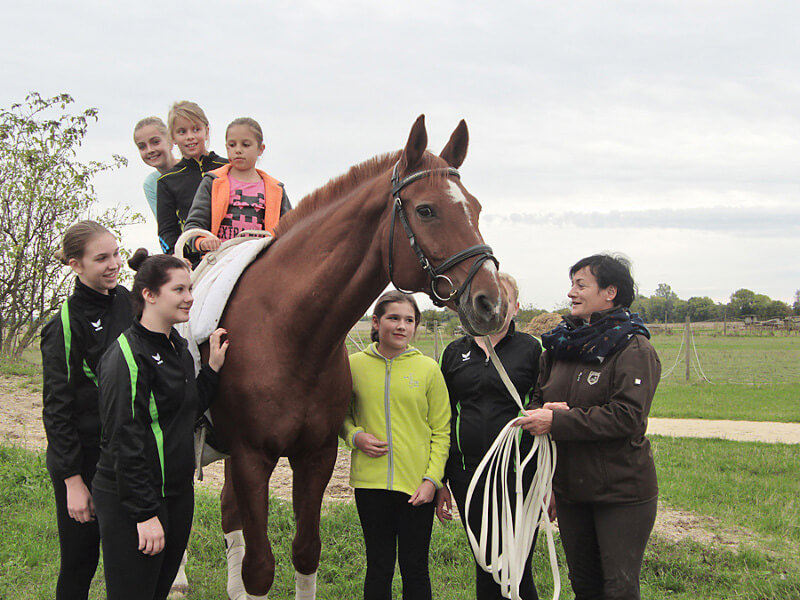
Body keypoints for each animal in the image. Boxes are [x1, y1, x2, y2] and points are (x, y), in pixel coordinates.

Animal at [211, 115, 506, 596]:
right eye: (426, 210)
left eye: (476, 209)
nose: (492, 304)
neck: (287, 334)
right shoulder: (252, 458)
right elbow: (260, 570)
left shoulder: (316, 456)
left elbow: (305, 552)